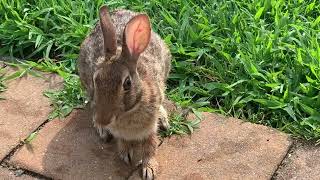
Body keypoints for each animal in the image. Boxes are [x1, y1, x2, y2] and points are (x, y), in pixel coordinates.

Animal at [77, 4, 171, 179]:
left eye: (127, 83)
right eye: (95, 79)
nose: (103, 120)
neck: (129, 111)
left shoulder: (150, 129)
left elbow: (151, 146)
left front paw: (149, 170)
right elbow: (123, 142)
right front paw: (126, 154)